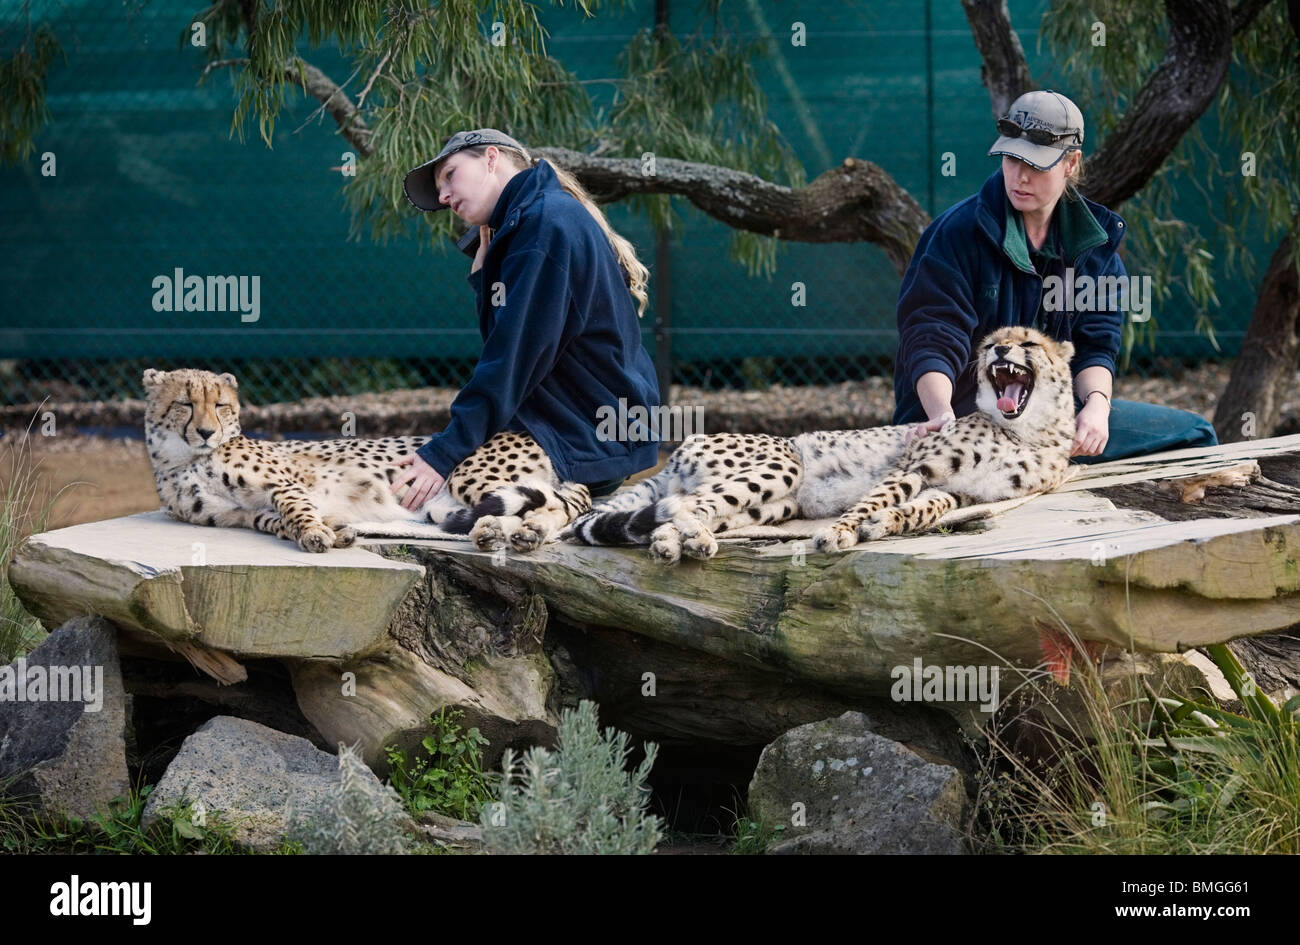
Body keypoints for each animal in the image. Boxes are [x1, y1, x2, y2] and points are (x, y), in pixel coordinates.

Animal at [142, 366, 590, 551]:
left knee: (562, 509)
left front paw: (315, 533)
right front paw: (335, 531)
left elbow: (295, 509)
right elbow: (276, 521)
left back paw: (529, 533)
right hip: (443, 510)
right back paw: (496, 532)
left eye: (220, 406)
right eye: (185, 404)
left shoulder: (283, 484)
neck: (181, 460)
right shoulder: (240, 514)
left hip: (468, 476)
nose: (206, 432)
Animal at [559, 324, 1076, 561]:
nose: (998, 351)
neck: (1028, 430)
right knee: (688, 505)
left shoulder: (961, 491)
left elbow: (920, 509)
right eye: (991, 343)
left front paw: (885, 525)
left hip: (772, 506)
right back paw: (690, 540)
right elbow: (875, 499)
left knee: (682, 512)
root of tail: (678, 453)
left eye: (1028, 344)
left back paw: (675, 543)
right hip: (783, 462)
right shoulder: (913, 466)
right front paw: (839, 533)